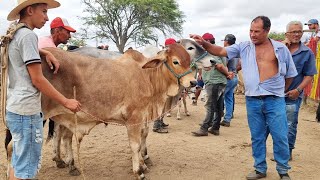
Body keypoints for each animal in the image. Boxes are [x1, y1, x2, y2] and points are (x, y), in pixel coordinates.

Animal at [39, 43, 195, 179]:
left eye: (189, 60)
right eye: (175, 61)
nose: (193, 82)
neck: (147, 76)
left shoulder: (143, 117)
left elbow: (142, 139)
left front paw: (144, 164)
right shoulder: (134, 119)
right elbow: (136, 145)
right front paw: (139, 171)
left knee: (64, 137)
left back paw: (69, 164)